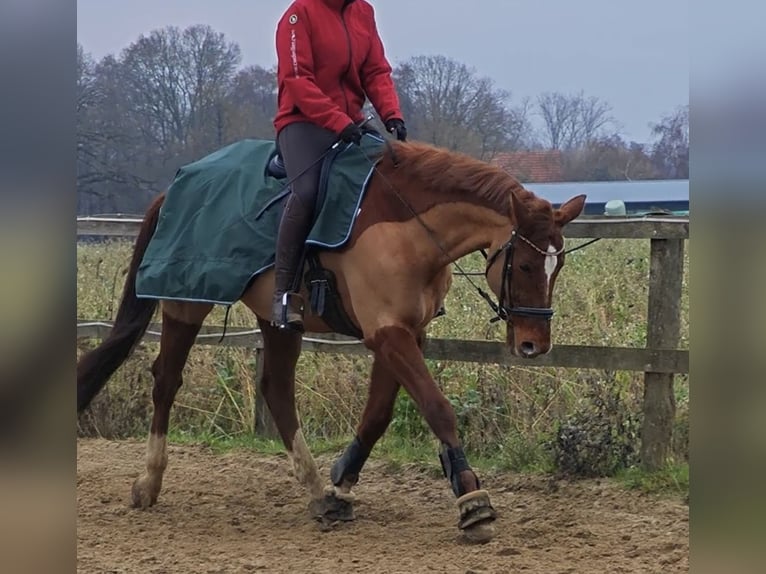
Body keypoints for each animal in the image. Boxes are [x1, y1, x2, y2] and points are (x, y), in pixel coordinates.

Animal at [77, 138, 586, 543]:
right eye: (525, 265)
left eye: (558, 265)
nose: (534, 344)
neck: (406, 225)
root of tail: (175, 186)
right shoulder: (388, 333)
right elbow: (436, 406)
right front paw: (471, 499)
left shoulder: (406, 333)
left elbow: (378, 413)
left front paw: (341, 481)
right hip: (185, 302)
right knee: (167, 380)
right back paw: (149, 482)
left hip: (278, 320)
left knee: (277, 389)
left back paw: (316, 489)